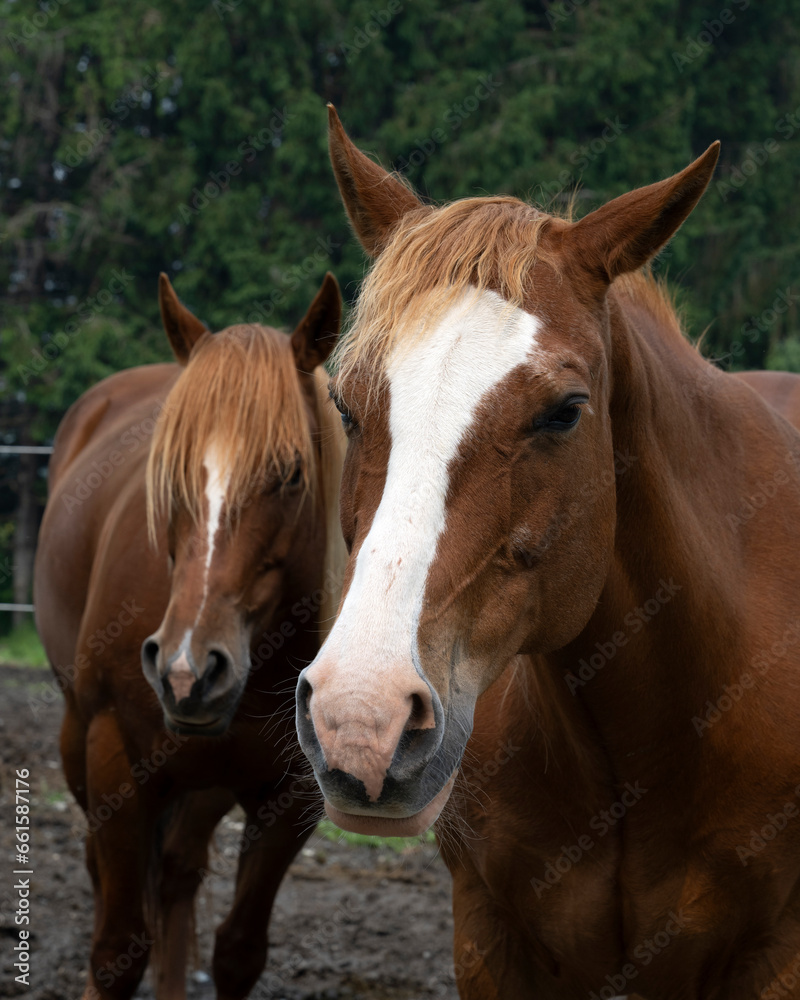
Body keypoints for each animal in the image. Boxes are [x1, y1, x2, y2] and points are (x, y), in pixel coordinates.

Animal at [34, 274, 344, 1000]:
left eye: (292, 474)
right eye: (167, 472)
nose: (186, 671)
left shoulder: (292, 794)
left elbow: (238, 952)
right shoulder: (115, 761)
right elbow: (116, 951)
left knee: (176, 875)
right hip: (78, 740)